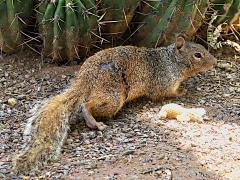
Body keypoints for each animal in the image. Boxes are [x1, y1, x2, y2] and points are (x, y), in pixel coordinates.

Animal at [14, 34, 218, 174]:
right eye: (198, 55)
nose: (215, 62)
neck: (172, 61)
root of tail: (85, 79)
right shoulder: (164, 82)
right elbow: (166, 94)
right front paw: (185, 91)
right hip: (113, 97)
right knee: (86, 105)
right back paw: (94, 123)